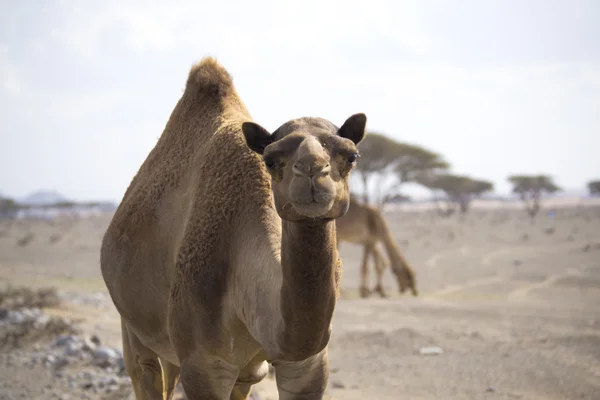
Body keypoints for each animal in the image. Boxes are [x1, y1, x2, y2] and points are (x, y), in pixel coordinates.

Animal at [99, 57, 366, 400]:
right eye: (270, 159)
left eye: (351, 155)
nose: (312, 170)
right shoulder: (204, 363)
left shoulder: (307, 365)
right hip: (132, 325)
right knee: (144, 371)